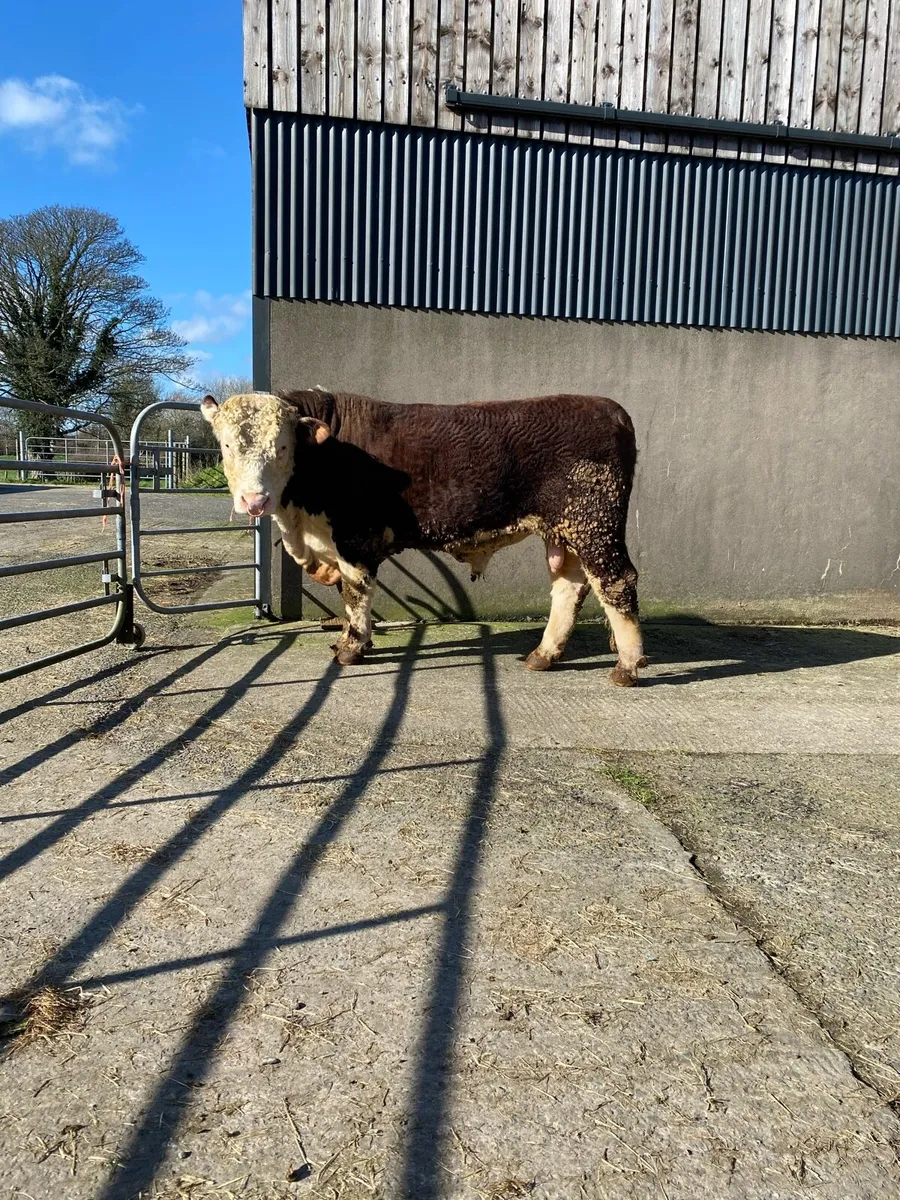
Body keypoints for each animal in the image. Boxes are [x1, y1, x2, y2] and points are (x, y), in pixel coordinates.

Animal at [200, 389, 647, 685]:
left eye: (281, 446)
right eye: (227, 445)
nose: (254, 500)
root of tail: (608, 408)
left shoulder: (354, 538)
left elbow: (355, 594)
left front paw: (351, 647)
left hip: (594, 524)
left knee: (616, 582)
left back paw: (627, 666)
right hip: (566, 532)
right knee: (570, 588)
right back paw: (543, 655)